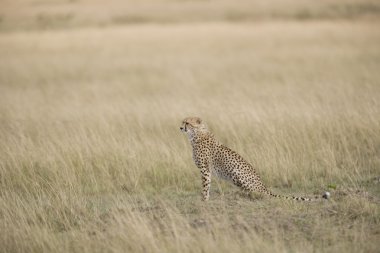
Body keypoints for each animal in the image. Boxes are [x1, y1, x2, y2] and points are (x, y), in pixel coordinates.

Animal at [180, 116, 328, 202]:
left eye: (187, 123)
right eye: (182, 122)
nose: (180, 127)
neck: (196, 134)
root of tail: (264, 186)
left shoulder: (205, 170)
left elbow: (206, 186)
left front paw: (203, 200)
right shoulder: (207, 170)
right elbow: (208, 185)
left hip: (236, 172)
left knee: (259, 194)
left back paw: (247, 195)